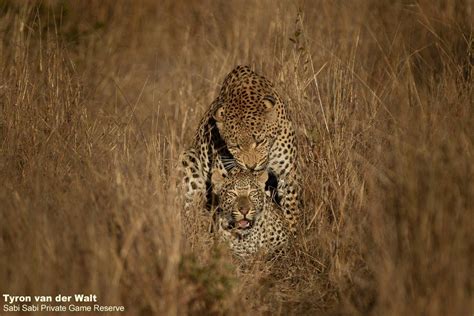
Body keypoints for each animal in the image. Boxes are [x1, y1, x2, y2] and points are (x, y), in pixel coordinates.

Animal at [181, 65, 300, 232]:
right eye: (235, 145)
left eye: (260, 141)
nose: (251, 166)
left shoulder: (287, 173)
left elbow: (291, 207)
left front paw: (293, 231)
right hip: (188, 157)